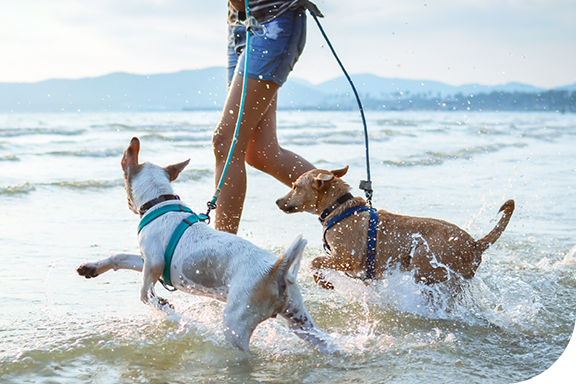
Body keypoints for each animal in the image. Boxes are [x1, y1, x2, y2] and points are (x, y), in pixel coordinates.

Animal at [77, 136, 328, 352]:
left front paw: (163, 306)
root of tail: (277, 271)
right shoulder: (147, 260)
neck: (160, 202)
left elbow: (144, 293)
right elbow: (120, 258)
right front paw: (92, 268)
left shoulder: (154, 263)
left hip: (236, 323)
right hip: (300, 321)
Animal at [276, 166, 516, 290]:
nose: (277, 201)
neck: (340, 209)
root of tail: (475, 244)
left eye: (295, 186)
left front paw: (323, 282)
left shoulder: (347, 258)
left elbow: (316, 261)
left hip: (425, 263)